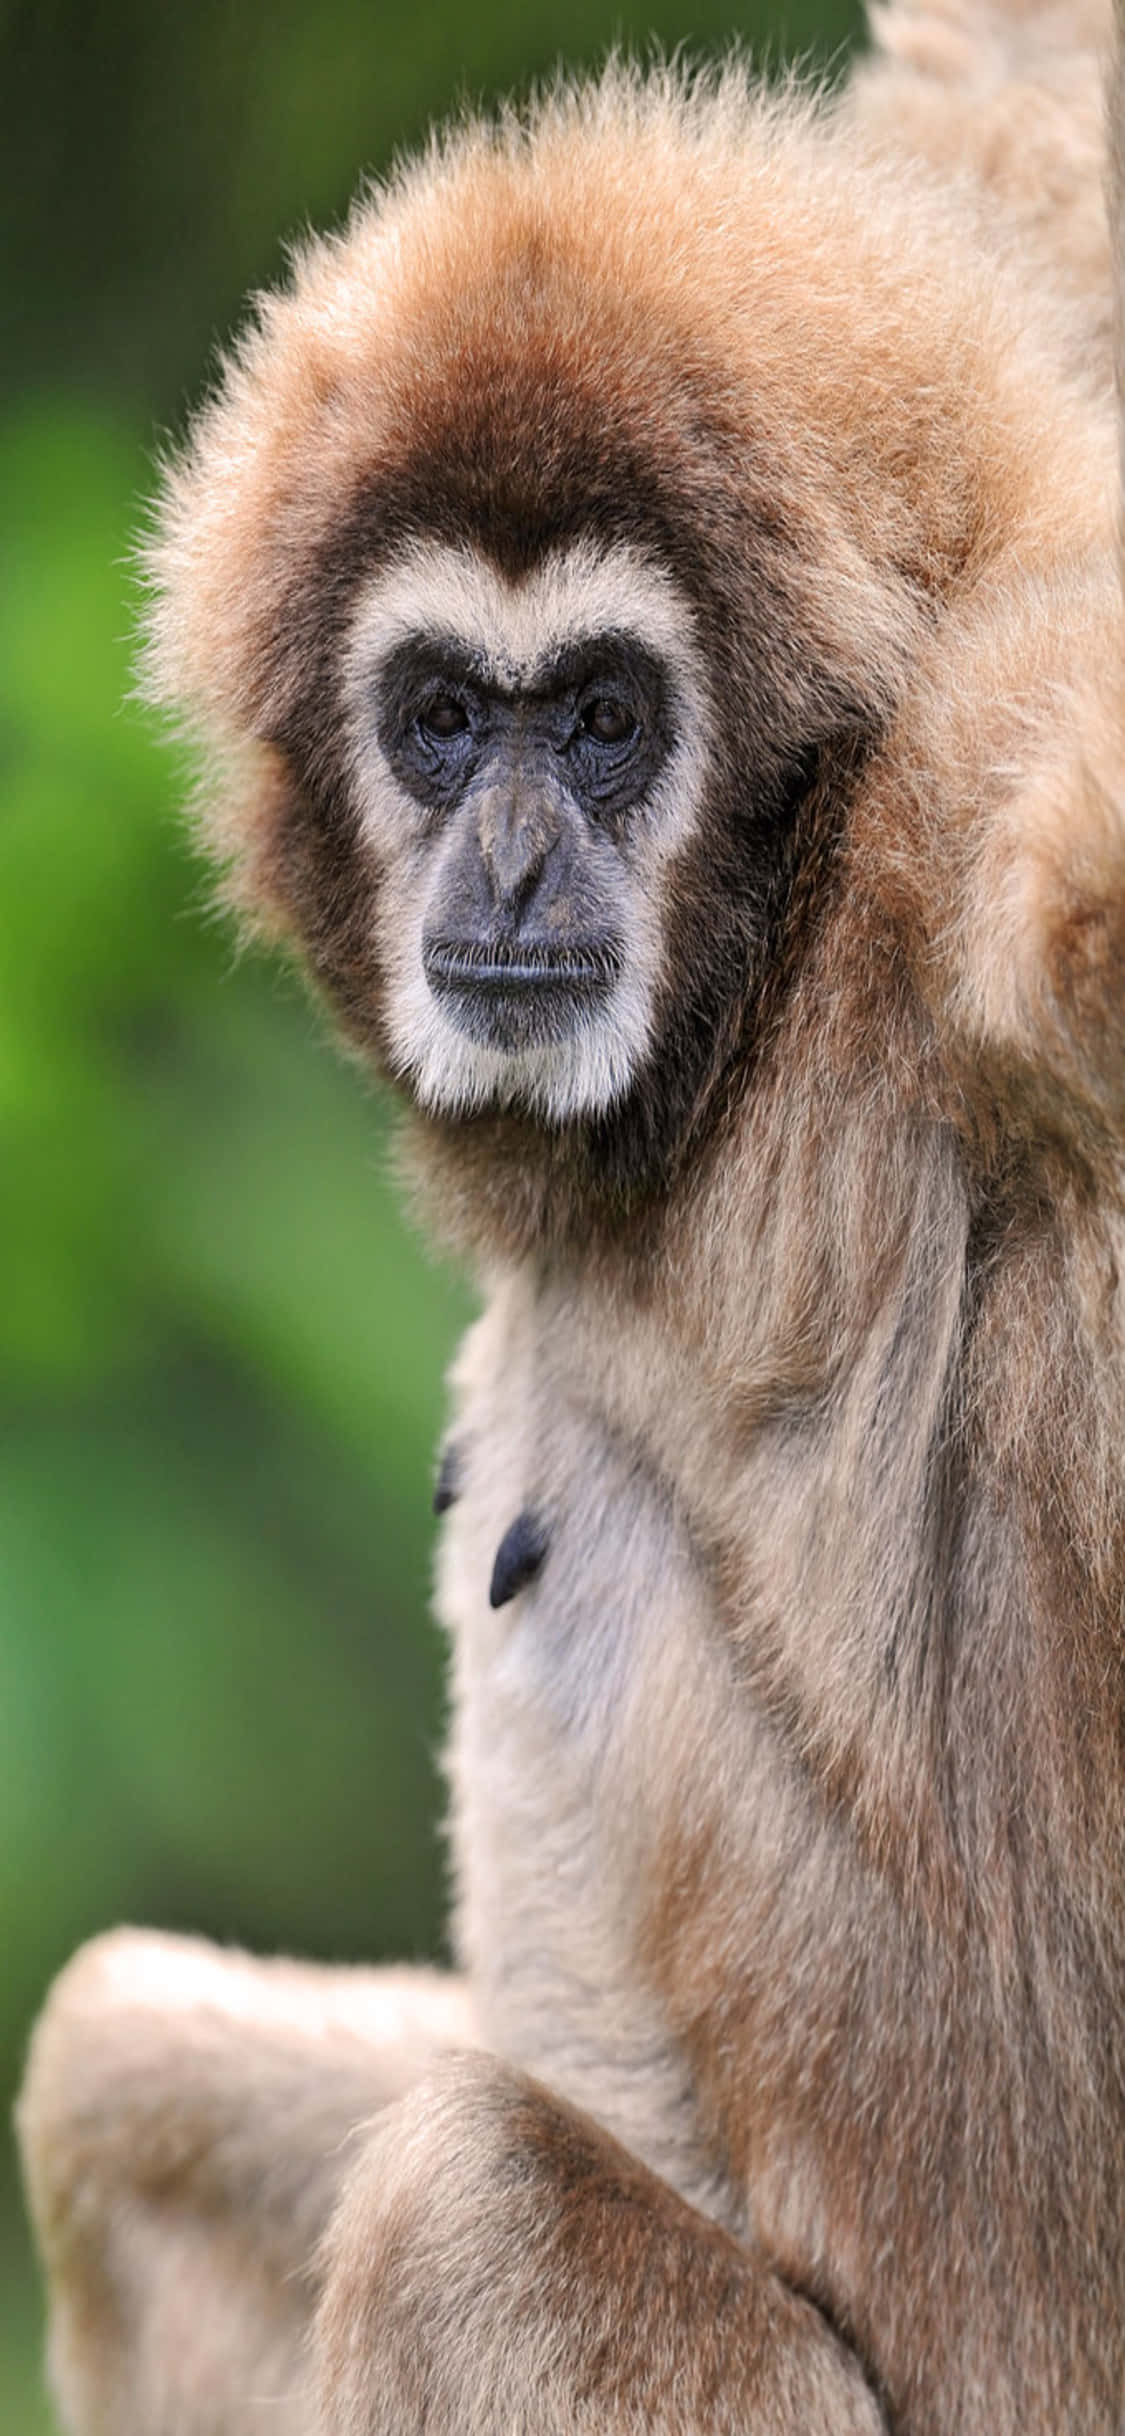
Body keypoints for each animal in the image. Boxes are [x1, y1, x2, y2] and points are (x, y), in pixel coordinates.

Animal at [15, 1, 1125, 2429]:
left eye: (607, 721)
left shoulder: (957, 905)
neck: (746, 1043)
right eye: (443, 719)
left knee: (467, 2202)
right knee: (109, 2060)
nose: (512, 865)